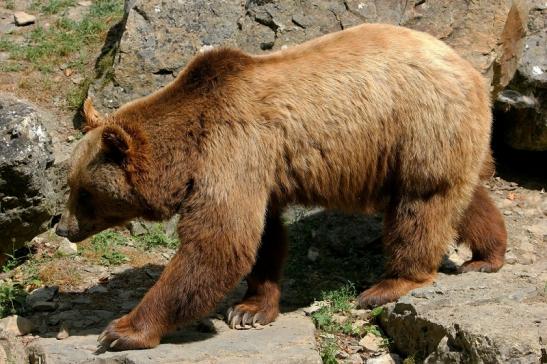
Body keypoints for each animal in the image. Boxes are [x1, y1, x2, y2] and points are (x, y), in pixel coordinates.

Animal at [55, 22, 506, 350]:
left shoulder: (233, 148)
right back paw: (486, 256)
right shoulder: (258, 171)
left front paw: (122, 330)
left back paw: (389, 285)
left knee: (420, 206)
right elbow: (262, 238)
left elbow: (218, 243)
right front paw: (251, 308)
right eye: (70, 184)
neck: (188, 147)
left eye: (83, 192)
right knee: (462, 197)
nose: (62, 227)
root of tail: (471, 71)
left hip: (419, 124)